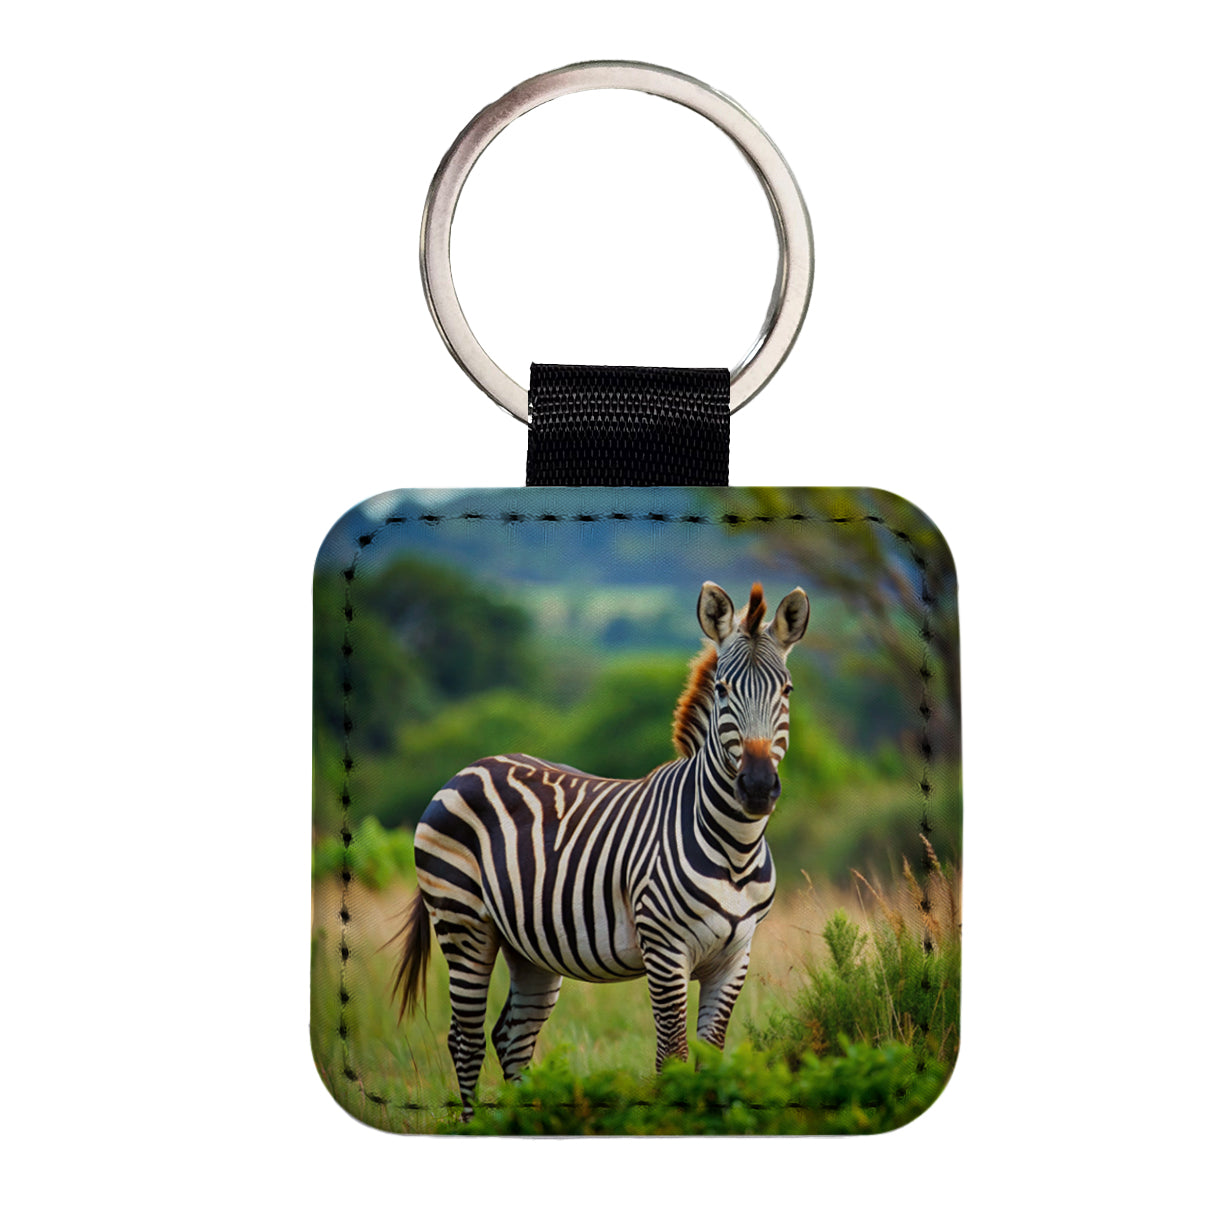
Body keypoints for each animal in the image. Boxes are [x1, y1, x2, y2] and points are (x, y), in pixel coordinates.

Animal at [393, 580, 810, 1118]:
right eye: (722, 690)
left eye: (786, 690)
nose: (757, 787)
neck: (734, 849)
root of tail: (468, 768)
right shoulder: (665, 951)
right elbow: (672, 1060)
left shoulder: (735, 956)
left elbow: (710, 1060)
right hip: (463, 923)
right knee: (464, 1040)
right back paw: (473, 1125)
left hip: (528, 946)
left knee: (511, 1038)